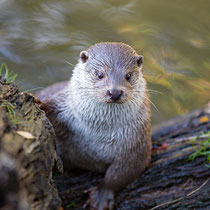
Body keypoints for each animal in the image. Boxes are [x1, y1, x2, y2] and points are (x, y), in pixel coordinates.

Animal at [36, 41, 151, 209]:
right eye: (100, 74)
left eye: (128, 75)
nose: (114, 92)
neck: (96, 132)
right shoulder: (64, 107)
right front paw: (40, 105)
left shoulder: (136, 144)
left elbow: (120, 174)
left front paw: (101, 196)